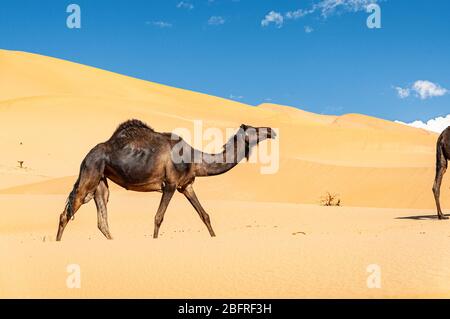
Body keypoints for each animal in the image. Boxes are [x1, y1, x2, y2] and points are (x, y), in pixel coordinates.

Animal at [55, 119, 276, 241]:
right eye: (255, 129)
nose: (271, 130)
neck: (194, 159)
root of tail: (86, 156)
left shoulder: (186, 185)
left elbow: (204, 215)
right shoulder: (169, 184)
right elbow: (158, 218)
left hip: (101, 182)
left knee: (102, 220)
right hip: (90, 174)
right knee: (66, 213)